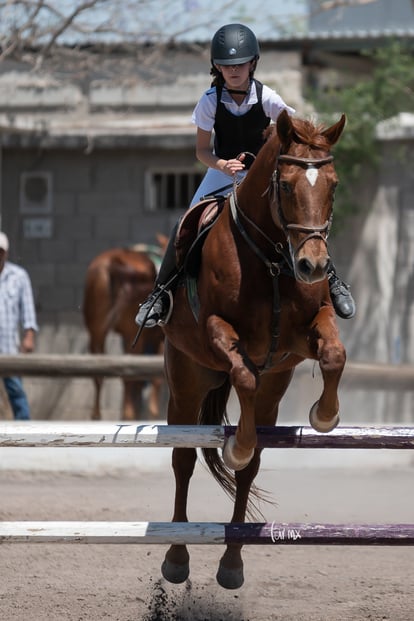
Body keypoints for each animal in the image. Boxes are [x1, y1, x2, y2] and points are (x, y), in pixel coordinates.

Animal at [82, 237, 167, 422]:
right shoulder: (159, 340)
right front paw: (152, 413)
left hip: (96, 332)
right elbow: (154, 377)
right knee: (130, 375)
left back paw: (98, 414)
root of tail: (113, 262)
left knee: (99, 372)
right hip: (131, 335)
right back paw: (129, 414)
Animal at [160, 109, 348, 588]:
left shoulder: (305, 332)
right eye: (286, 186)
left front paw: (324, 416)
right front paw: (238, 444)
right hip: (187, 380)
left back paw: (231, 565)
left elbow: (334, 354)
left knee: (249, 470)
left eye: (334, 185)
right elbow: (243, 371)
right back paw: (176, 557)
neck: (273, 257)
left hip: (272, 390)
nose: (312, 265)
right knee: (183, 459)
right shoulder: (216, 328)